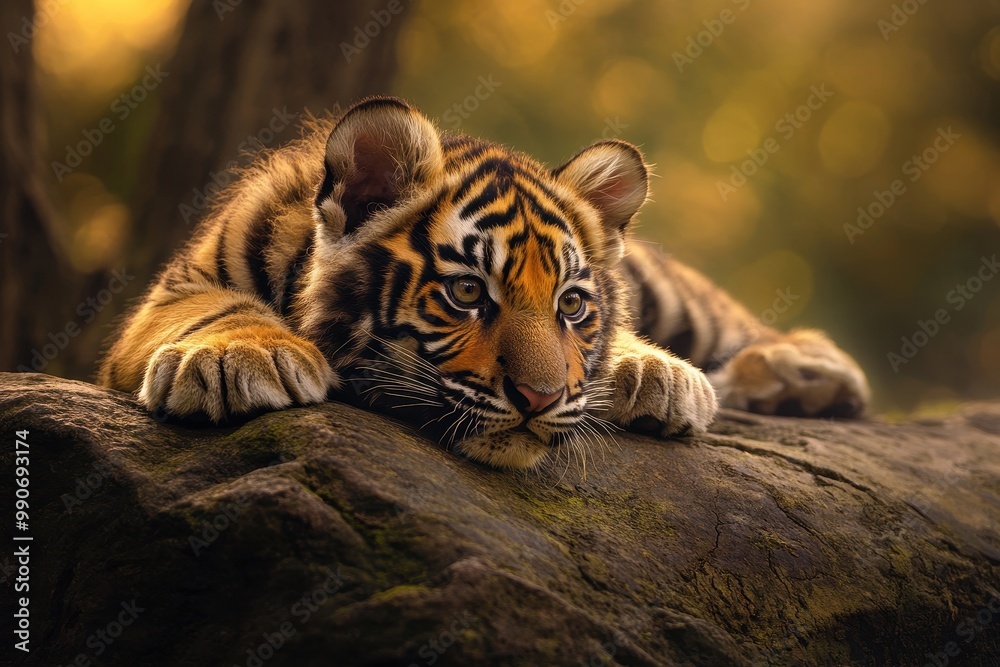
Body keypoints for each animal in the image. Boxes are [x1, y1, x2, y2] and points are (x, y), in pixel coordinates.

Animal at [98, 96, 869, 470]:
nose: (539, 400)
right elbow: (214, 309)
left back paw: (806, 375)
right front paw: (238, 357)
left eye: (572, 305)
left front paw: (655, 375)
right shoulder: (174, 290)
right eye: (468, 293)